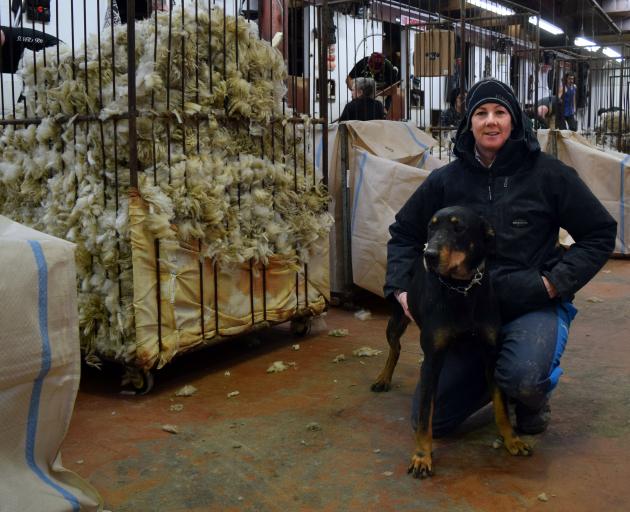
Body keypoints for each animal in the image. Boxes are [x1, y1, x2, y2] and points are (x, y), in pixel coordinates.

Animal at [376, 206, 532, 478]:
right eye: (431, 226)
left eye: (459, 228)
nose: (429, 255)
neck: (462, 288)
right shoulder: (432, 361)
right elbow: (425, 414)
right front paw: (422, 457)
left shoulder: (491, 353)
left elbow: (500, 404)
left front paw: (511, 439)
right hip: (397, 316)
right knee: (395, 347)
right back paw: (383, 378)